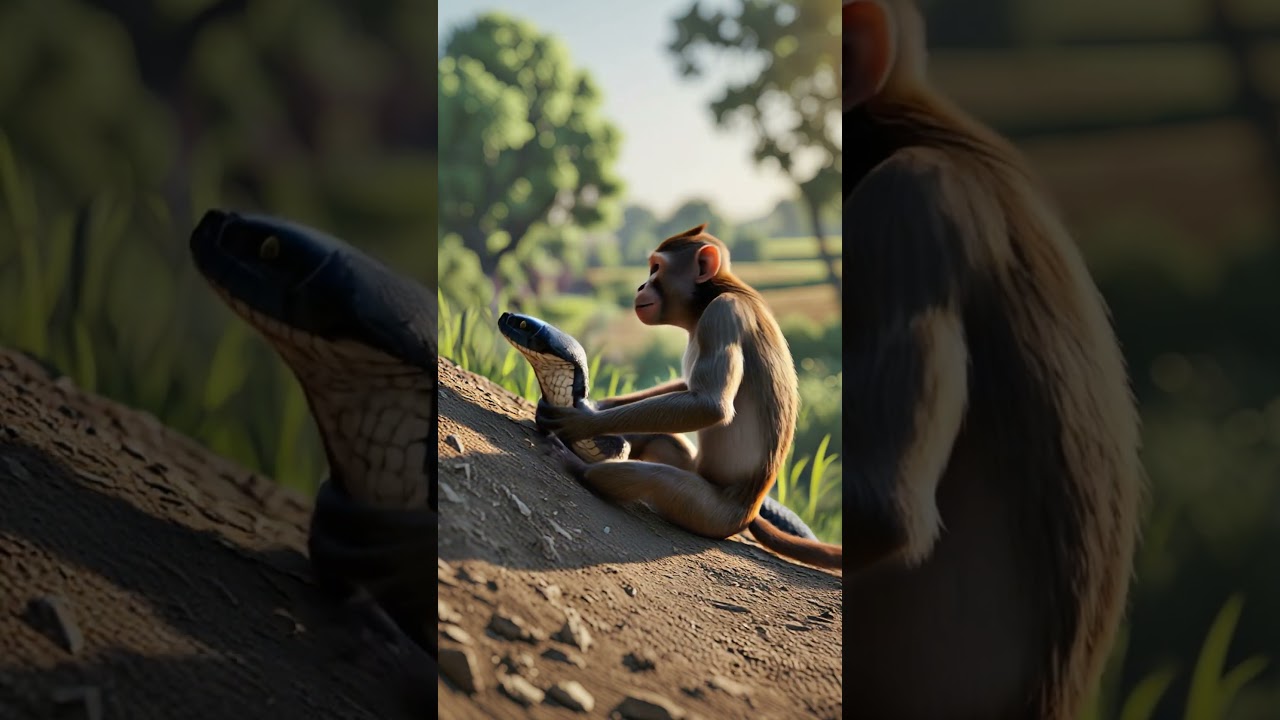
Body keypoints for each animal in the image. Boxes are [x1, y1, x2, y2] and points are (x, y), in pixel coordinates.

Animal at [535, 224, 843, 571]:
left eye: (656, 268)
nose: (641, 285)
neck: (714, 295)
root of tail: (750, 510)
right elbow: (685, 388)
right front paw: (597, 407)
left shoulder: (722, 315)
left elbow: (710, 405)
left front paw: (581, 422)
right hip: (694, 470)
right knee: (657, 437)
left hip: (711, 513)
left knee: (654, 479)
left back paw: (578, 466)